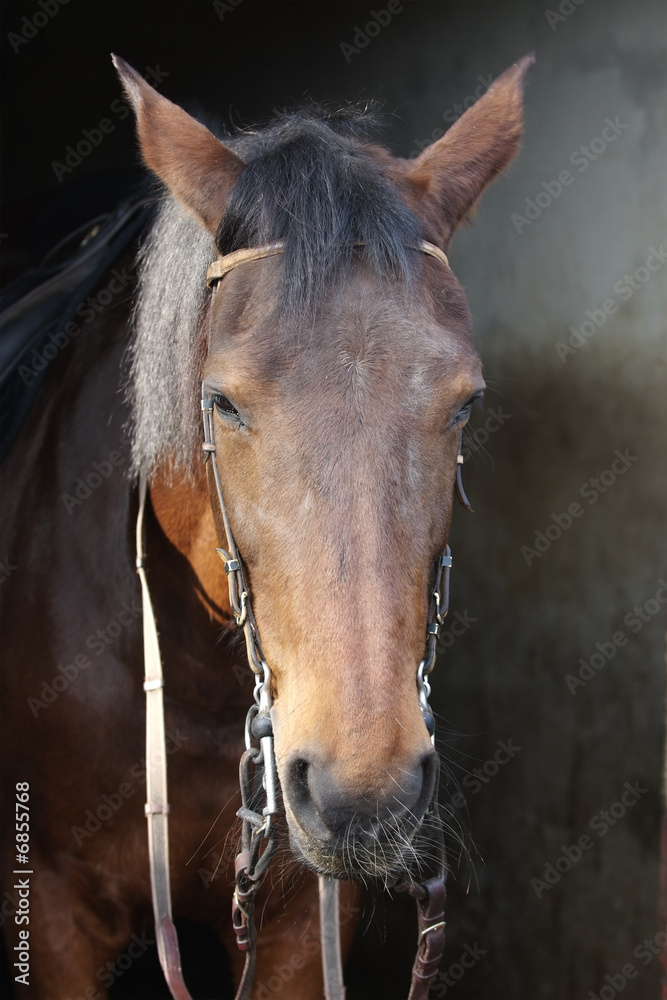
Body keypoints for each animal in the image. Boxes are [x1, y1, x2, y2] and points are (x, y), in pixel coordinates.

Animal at [0, 52, 533, 999]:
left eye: (466, 403)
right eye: (221, 401)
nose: (366, 795)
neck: (199, 688)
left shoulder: (301, 918)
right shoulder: (51, 909)